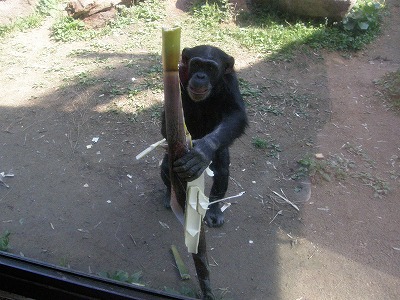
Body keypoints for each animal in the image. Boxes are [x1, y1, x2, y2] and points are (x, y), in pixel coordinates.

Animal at [160, 45, 247, 227]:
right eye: (197, 64)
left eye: (211, 68)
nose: (200, 76)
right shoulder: (177, 77)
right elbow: (167, 120)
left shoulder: (231, 82)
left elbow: (236, 115)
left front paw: (202, 152)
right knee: (165, 167)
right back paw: (170, 195)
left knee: (222, 172)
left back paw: (214, 210)